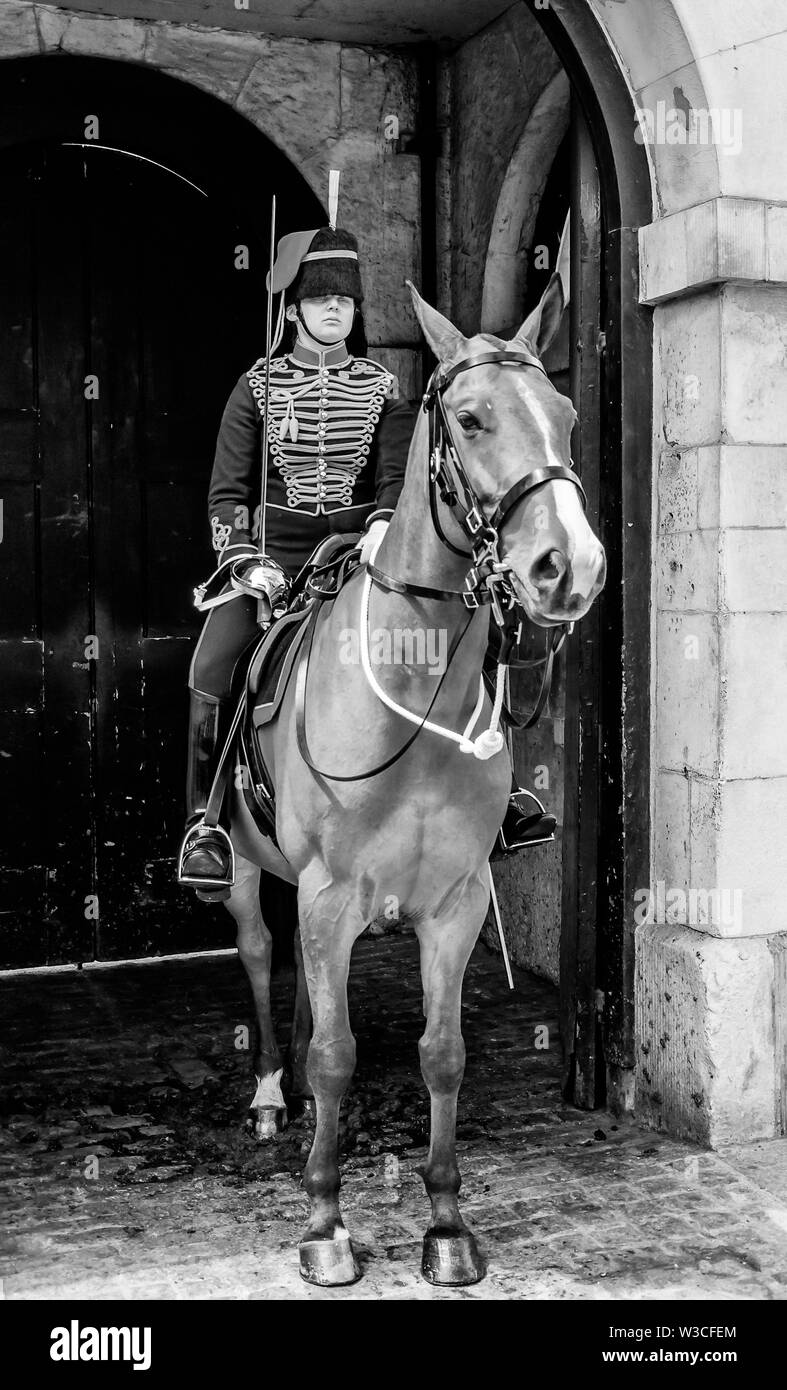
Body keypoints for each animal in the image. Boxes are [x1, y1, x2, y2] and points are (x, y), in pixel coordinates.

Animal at [221, 269, 606, 1287]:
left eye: (566, 413)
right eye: (469, 419)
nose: (570, 568)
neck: (411, 677)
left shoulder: (455, 900)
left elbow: (442, 1054)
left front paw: (444, 1223)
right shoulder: (329, 896)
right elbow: (336, 1056)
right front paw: (324, 1225)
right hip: (237, 867)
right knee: (260, 956)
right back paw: (268, 1093)